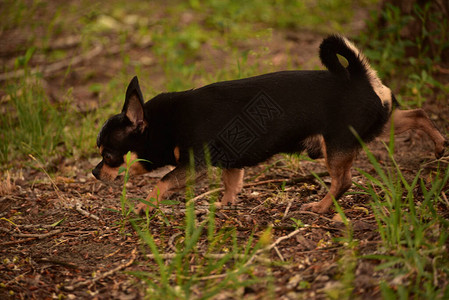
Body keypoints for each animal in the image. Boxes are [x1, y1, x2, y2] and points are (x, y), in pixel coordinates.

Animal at [93, 34, 446, 213]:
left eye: (108, 155)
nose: (95, 172)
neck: (159, 123)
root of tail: (360, 78)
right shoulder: (230, 162)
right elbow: (231, 183)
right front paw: (224, 204)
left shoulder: (194, 165)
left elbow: (163, 181)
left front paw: (144, 205)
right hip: (378, 124)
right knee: (416, 114)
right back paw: (440, 144)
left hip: (337, 146)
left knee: (343, 181)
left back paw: (320, 207)